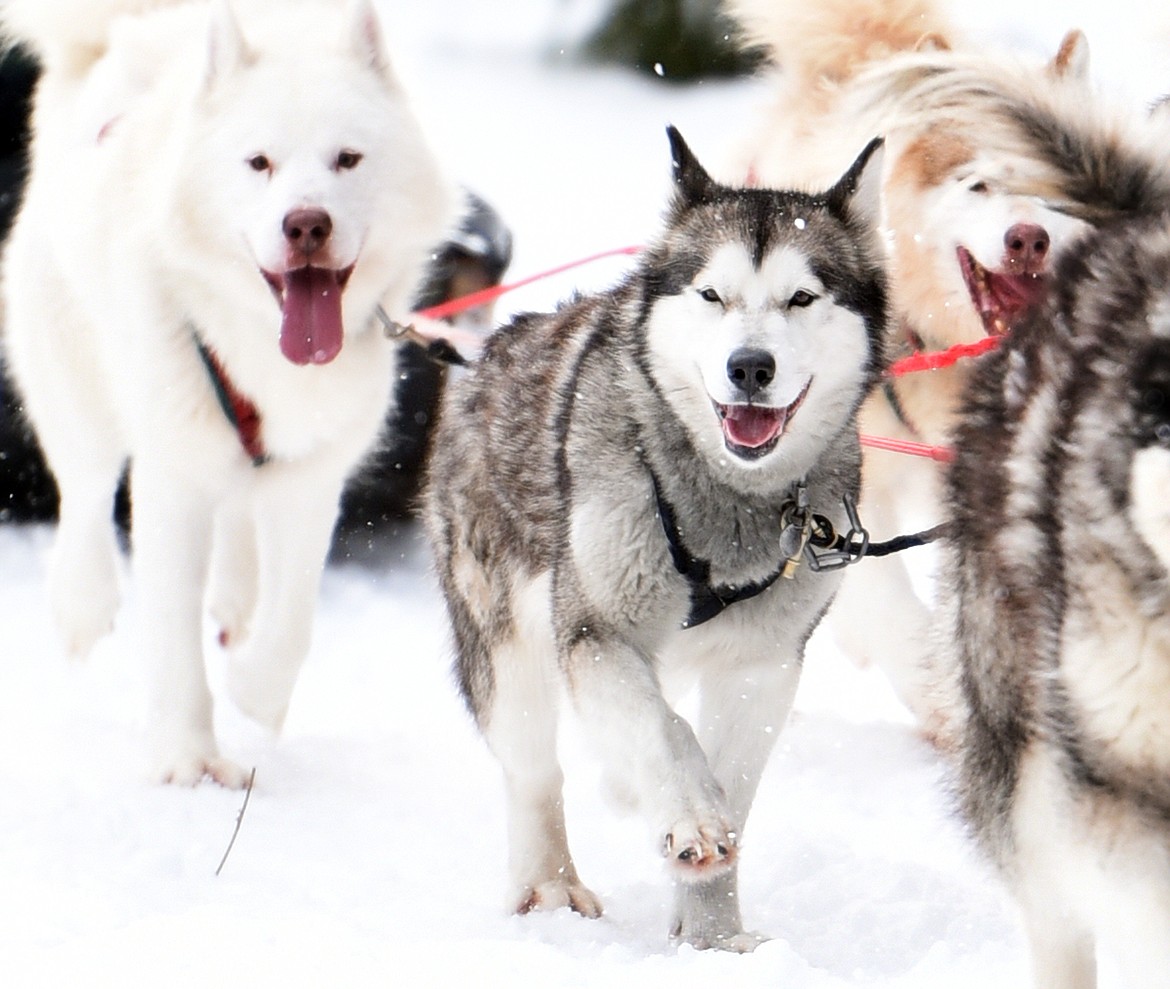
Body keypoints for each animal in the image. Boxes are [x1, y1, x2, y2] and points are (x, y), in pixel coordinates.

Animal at [1, 0, 451, 786]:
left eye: (348, 158)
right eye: (259, 162)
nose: (306, 224)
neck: (267, 355)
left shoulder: (313, 477)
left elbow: (293, 621)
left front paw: (252, 687)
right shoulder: (174, 477)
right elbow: (174, 637)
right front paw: (187, 757)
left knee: (239, 518)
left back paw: (236, 601)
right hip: (77, 380)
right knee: (84, 490)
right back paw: (84, 601)